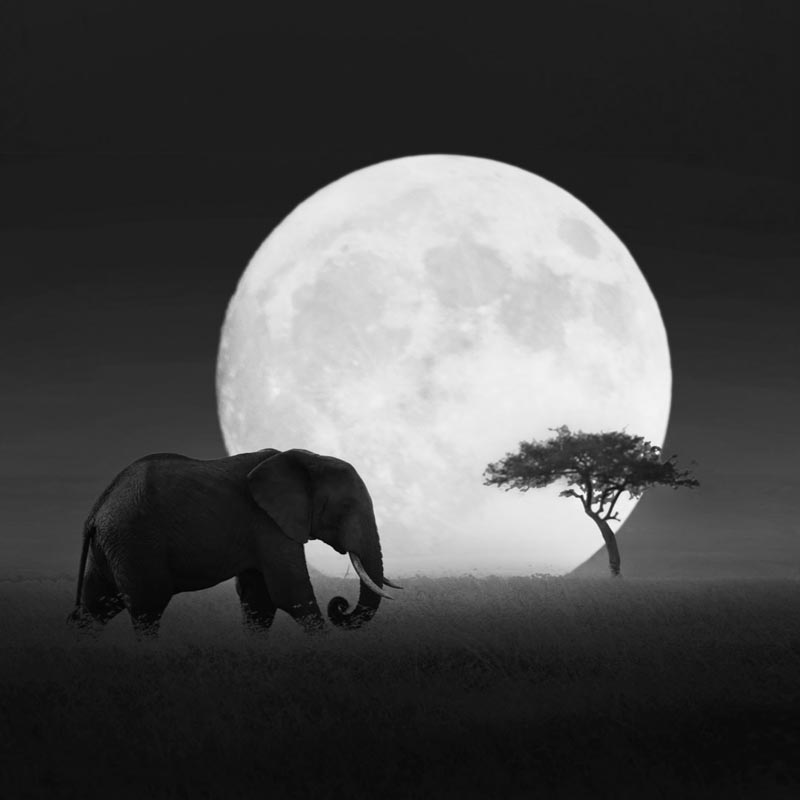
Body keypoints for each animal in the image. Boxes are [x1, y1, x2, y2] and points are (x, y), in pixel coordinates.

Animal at [67, 448, 401, 636]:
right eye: (345, 507)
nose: (340, 605)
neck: (308, 460)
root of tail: (96, 510)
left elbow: (259, 600)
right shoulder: (267, 523)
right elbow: (289, 592)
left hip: (110, 547)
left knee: (96, 607)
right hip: (134, 542)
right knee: (147, 609)